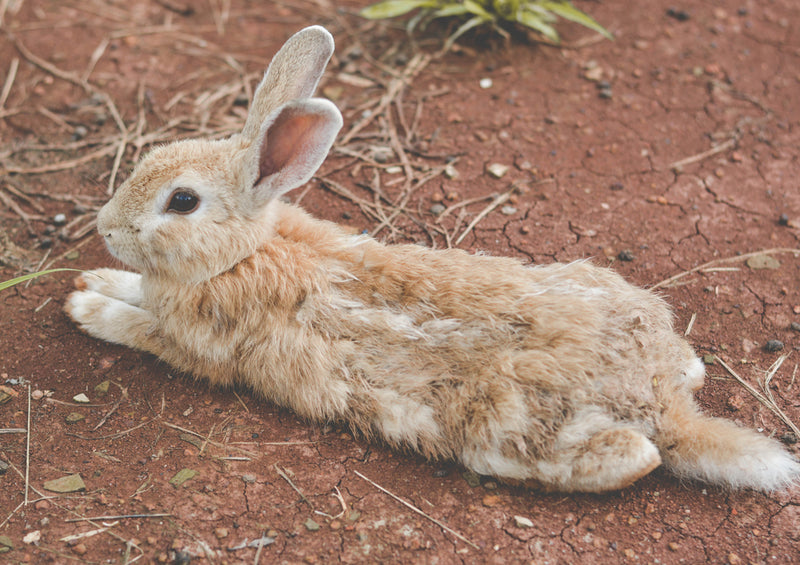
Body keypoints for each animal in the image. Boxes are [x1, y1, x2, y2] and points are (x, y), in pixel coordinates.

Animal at [64, 26, 800, 492]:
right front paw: (96, 278)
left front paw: (85, 304)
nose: (106, 227)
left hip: (511, 435)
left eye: (182, 201)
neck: (241, 251)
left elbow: (138, 326)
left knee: (634, 458)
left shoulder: (195, 345)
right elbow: (135, 289)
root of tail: (662, 403)